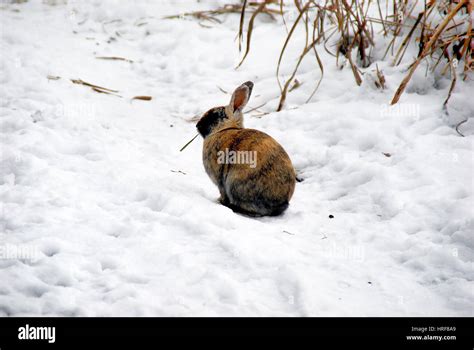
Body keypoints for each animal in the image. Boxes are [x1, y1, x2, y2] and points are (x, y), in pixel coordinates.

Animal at [194, 81, 294, 216]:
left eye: (215, 115)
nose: (197, 125)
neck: (225, 129)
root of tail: (281, 202)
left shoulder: (220, 181)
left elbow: (222, 191)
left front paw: (219, 201)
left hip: (234, 183)